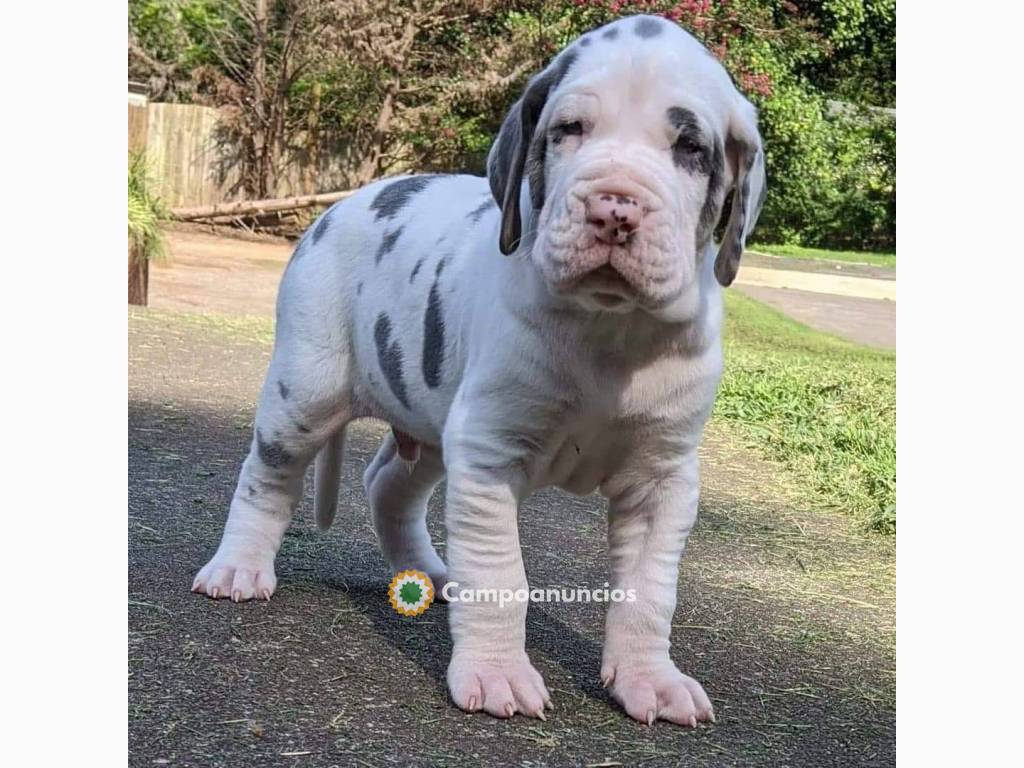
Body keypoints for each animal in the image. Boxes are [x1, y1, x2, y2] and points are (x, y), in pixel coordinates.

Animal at [193, 15, 770, 729]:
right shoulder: (490, 451)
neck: (610, 330)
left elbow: (649, 588)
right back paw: (238, 569)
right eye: (569, 129)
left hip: (435, 427)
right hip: (305, 390)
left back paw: (431, 575)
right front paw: (498, 675)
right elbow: (501, 576)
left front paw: (650, 681)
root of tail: (340, 203)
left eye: (690, 147)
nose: (614, 209)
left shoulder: (662, 477)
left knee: (388, 485)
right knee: (266, 478)